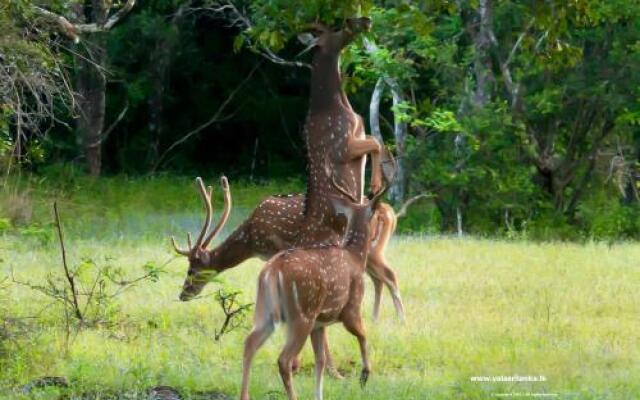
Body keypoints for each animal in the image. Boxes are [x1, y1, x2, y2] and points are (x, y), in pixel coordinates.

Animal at [240, 181, 390, 400]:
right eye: (375, 215)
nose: (378, 234)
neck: (356, 258)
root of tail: (273, 270)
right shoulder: (351, 307)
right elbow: (363, 335)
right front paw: (364, 375)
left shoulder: (319, 324)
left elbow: (320, 360)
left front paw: (319, 394)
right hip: (302, 313)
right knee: (284, 359)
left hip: (265, 310)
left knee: (249, 344)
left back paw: (244, 395)